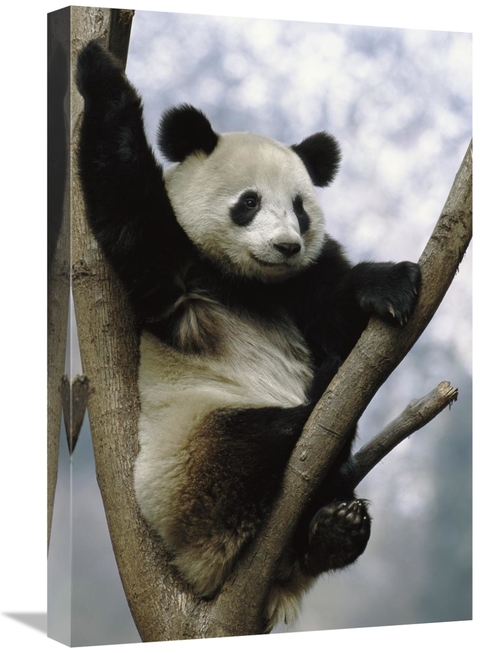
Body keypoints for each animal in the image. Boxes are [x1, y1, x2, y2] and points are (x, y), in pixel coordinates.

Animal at [76, 41, 421, 628]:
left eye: (300, 209)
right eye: (249, 202)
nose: (285, 245)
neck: (251, 281)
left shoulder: (303, 285)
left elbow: (341, 308)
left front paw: (390, 285)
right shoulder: (179, 276)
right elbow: (128, 204)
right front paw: (100, 73)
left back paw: (332, 532)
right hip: (187, 460)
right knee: (249, 447)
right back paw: (317, 409)